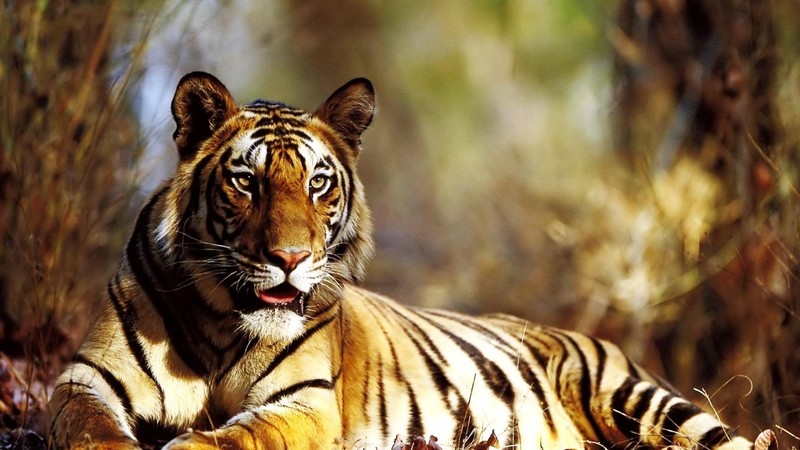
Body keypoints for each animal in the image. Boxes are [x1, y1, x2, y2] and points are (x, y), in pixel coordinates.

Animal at [48, 71, 769, 450]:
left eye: (317, 182)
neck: (221, 321)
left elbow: (227, 438)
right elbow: (87, 428)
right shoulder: (86, 379)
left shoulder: (302, 403)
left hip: (638, 399)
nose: (290, 258)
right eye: (246, 182)